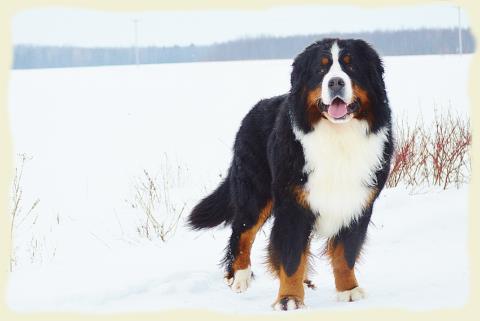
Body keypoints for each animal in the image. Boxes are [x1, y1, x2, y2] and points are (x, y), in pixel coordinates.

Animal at [188, 38, 394, 310]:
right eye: (321, 69)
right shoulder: (292, 205)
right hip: (255, 192)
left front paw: (348, 290)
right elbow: (292, 256)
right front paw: (289, 299)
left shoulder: (357, 202)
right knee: (242, 233)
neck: (338, 136)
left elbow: (345, 253)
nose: (335, 82)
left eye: (351, 66)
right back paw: (239, 276)